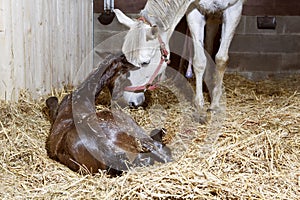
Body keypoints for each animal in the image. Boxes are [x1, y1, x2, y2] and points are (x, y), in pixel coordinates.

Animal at [113, 0, 245, 109]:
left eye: (145, 62)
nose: (130, 101)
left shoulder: (234, 8)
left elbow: (221, 59)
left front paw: (215, 104)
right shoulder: (194, 9)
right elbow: (199, 61)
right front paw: (199, 103)